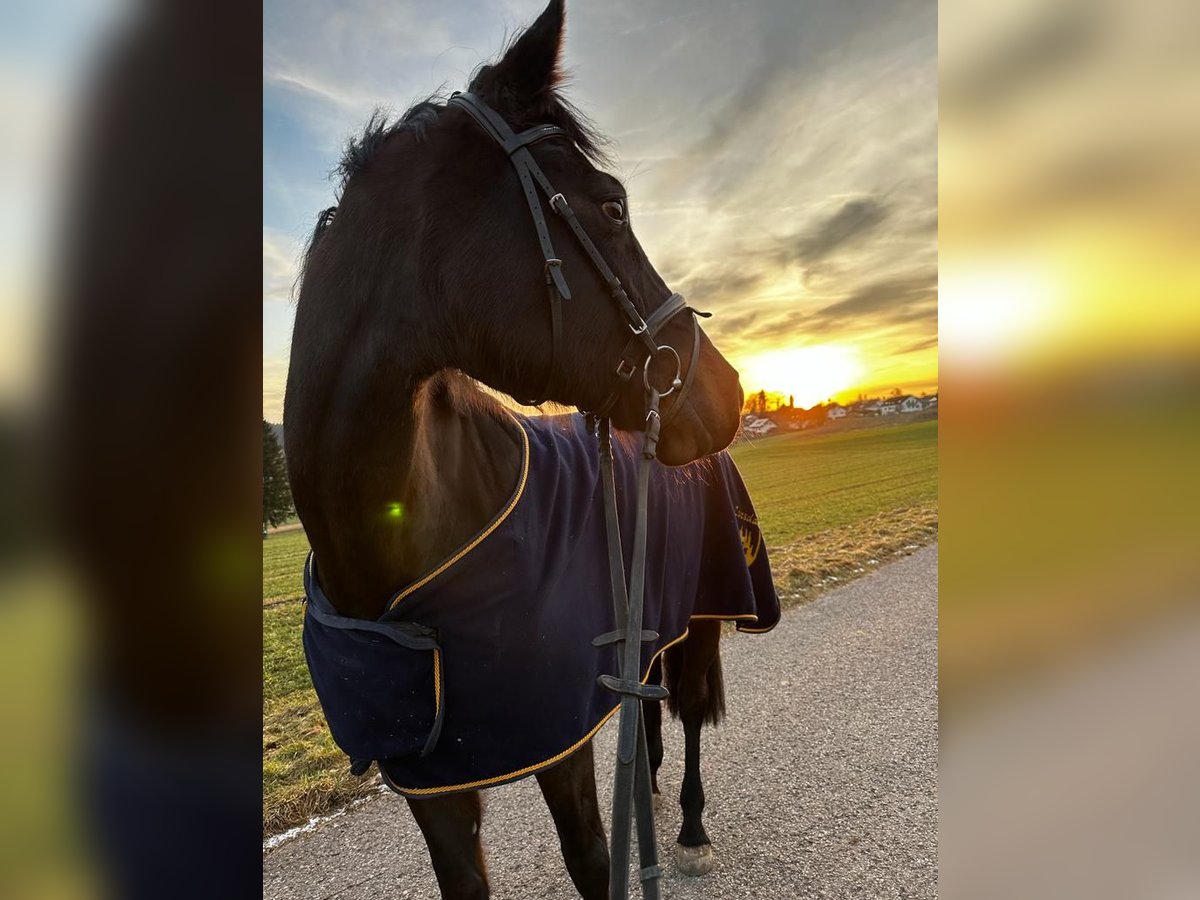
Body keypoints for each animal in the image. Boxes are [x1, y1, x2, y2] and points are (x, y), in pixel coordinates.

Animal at [284, 3, 744, 897]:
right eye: (612, 207)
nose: (728, 393)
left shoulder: (558, 744)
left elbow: (594, 859)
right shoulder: (434, 787)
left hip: (701, 620)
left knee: (688, 712)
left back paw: (692, 823)